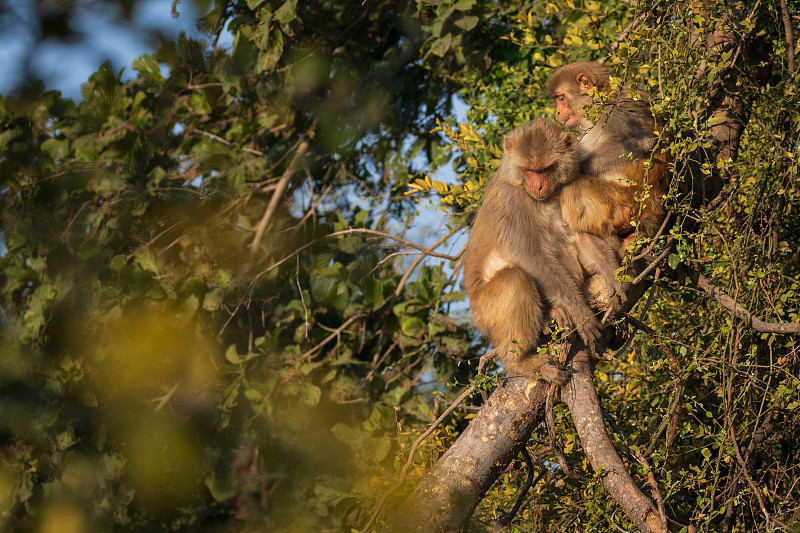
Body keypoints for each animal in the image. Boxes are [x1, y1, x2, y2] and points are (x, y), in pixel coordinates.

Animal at [462, 118, 612, 382]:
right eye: (530, 170)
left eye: (544, 169)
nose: (539, 186)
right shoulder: (512, 201)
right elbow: (530, 256)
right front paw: (579, 311)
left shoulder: (567, 189)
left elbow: (579, 234)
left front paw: (615, 273)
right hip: (486, 313)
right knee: (515, 278)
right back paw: (521, 361)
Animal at [552, 59, 668, 239]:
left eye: (561, 98)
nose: (557, 112)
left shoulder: (607, 110)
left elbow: (643, 139)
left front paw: (576, 168)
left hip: (625, 203)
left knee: (572, 187)